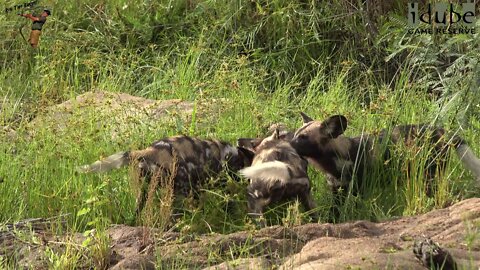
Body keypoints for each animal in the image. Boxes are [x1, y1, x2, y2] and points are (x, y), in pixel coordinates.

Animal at [77, 135, 253, 217]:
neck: (233, 156)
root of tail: (148, 151)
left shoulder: (197, 190)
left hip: (145, 191)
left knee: (137, 210)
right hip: (178, 190)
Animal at [290, 112, 480, 219]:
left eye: (303, 137)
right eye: (296, 133)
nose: (289, 143)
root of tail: (442, 132)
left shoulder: (361, 191)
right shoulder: (338, 191)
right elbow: (334, 214)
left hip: (430, 178)